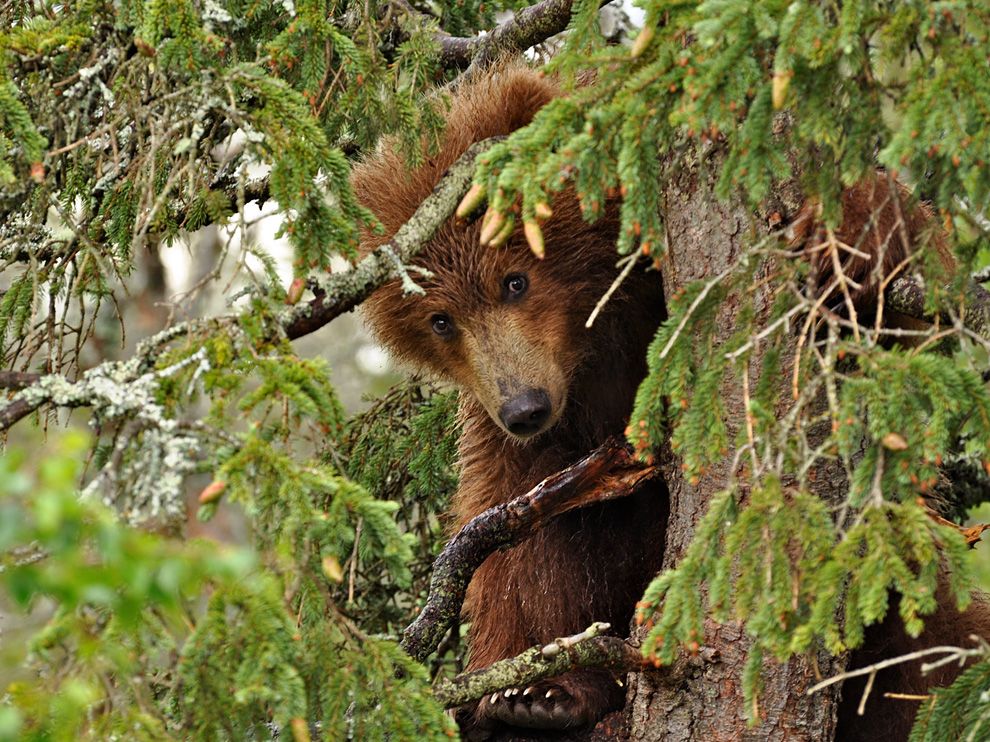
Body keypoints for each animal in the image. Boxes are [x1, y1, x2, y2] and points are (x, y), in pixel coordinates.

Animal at [352, 64, 990, 740]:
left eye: (514, 280)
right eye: (440, 320)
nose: (526, 407)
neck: (594, 339)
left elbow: (902, 295)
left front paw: (838, 237)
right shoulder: (521, 435)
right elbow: (513, 544)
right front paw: (518, 687)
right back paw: (550, 696)